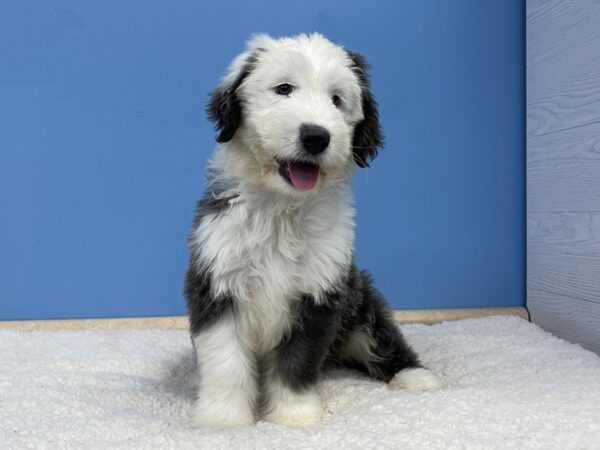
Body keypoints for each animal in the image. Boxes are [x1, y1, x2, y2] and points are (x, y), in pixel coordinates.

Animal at [184, 33, 440, 428]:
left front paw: (293, 418)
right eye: (284, 89)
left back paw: (415, 376)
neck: (282, 210)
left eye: (336, 99)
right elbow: (225, 362)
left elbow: (297, 361)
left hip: (362, 301)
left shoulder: (318, 293)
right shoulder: (217, 281)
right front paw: (223, 420)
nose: (316, 136)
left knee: (383, 338)